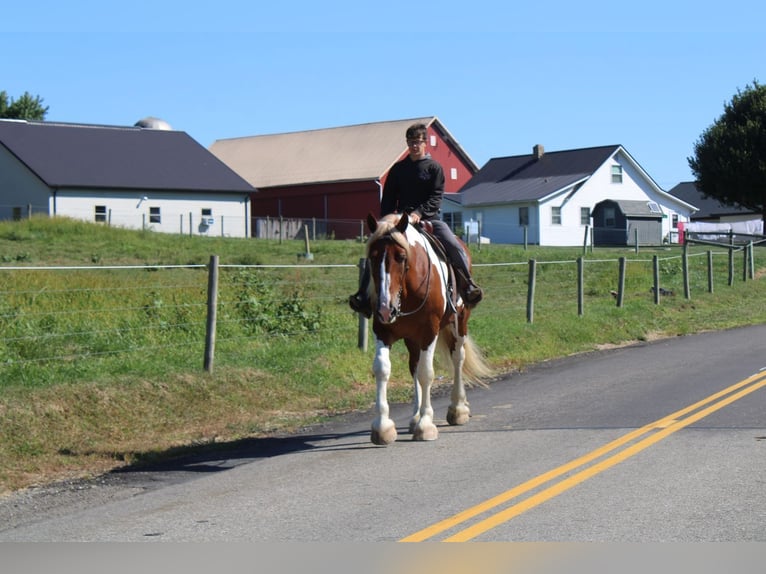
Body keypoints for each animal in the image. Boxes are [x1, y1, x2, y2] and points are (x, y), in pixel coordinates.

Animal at [363, 212, 492, 445]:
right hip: (411, 338)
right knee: (413, 365)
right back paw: (415, 416)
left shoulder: (429, 331)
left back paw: (458, 409)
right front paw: (383, 427)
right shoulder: (383, 330)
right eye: (372, 257)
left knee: (457, 358)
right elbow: (382, 369)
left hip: (460, 322)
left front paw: (425, 425)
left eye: (401, 257)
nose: (386, 309)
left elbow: (426, 373)